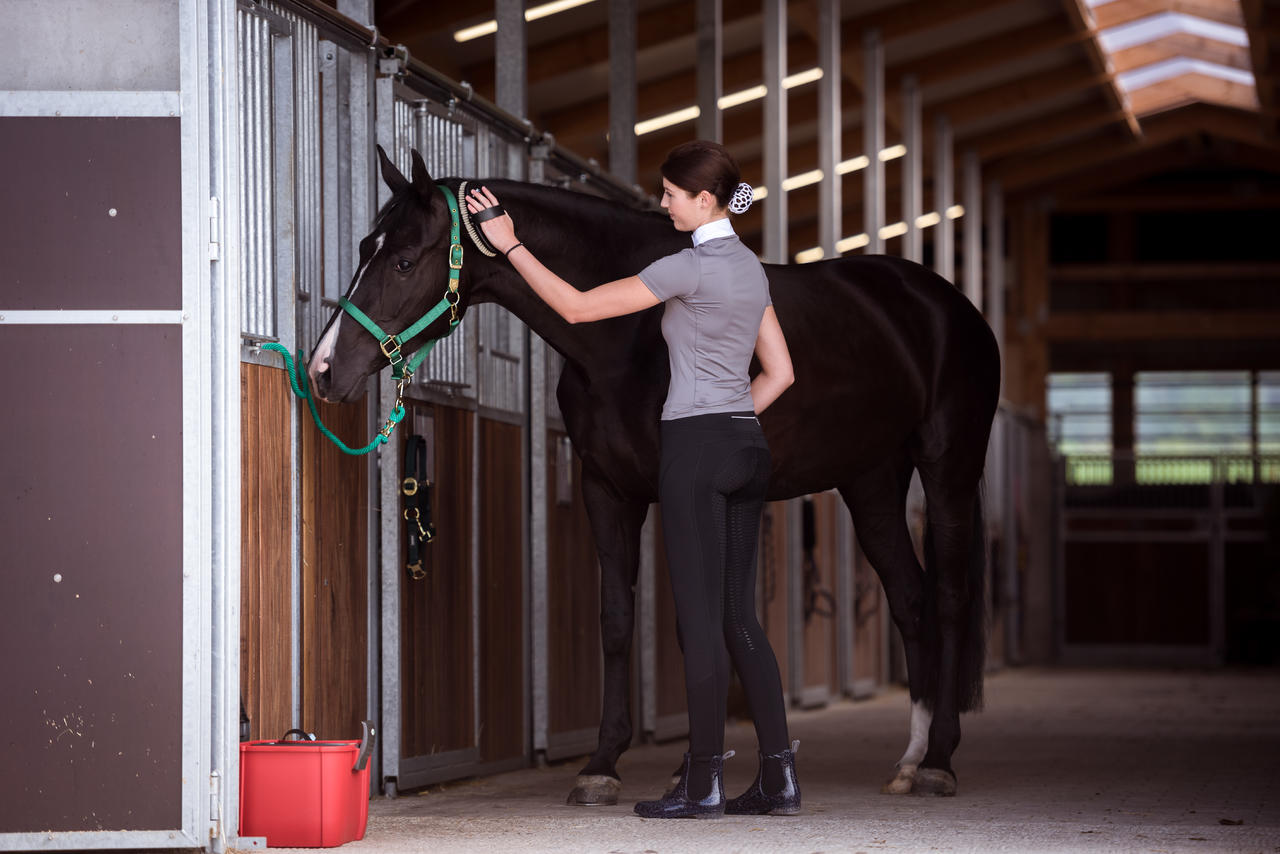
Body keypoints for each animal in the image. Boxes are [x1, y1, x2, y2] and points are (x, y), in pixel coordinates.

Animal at [307, 151, 998, 804]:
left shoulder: (680, 491)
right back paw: (908, 760)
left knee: (951, 596)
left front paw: (690, 767)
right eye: (365, 250)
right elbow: (616, 619)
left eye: (402, 262)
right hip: (871, 482)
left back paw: (938, 761)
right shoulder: (606, 491)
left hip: (948, 469)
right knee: (910, 599)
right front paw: (601, 766)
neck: (628, 336)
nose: (322, 369)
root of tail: (945, 304)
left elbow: (691, 625)